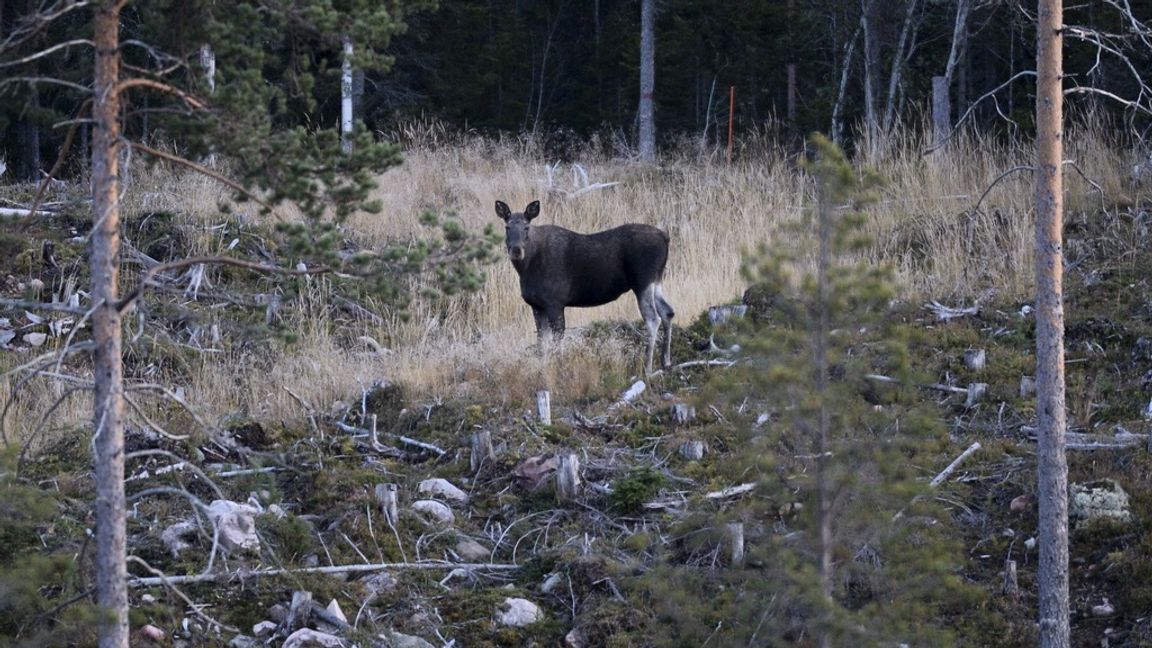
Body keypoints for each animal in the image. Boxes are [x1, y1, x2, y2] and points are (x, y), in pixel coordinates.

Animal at [495, 201, 672, 373]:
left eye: (526, 227)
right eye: (507, 227)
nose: (516, 251)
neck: (526, 269)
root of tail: (665, 237)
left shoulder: (555, 302)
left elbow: (557, 339)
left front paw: (560, 368)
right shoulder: (536, 305)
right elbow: (541, 343)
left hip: (643, 280)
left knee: (653, 318)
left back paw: (647, 369)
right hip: (656, 281)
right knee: (668, 312)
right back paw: (666, 362)